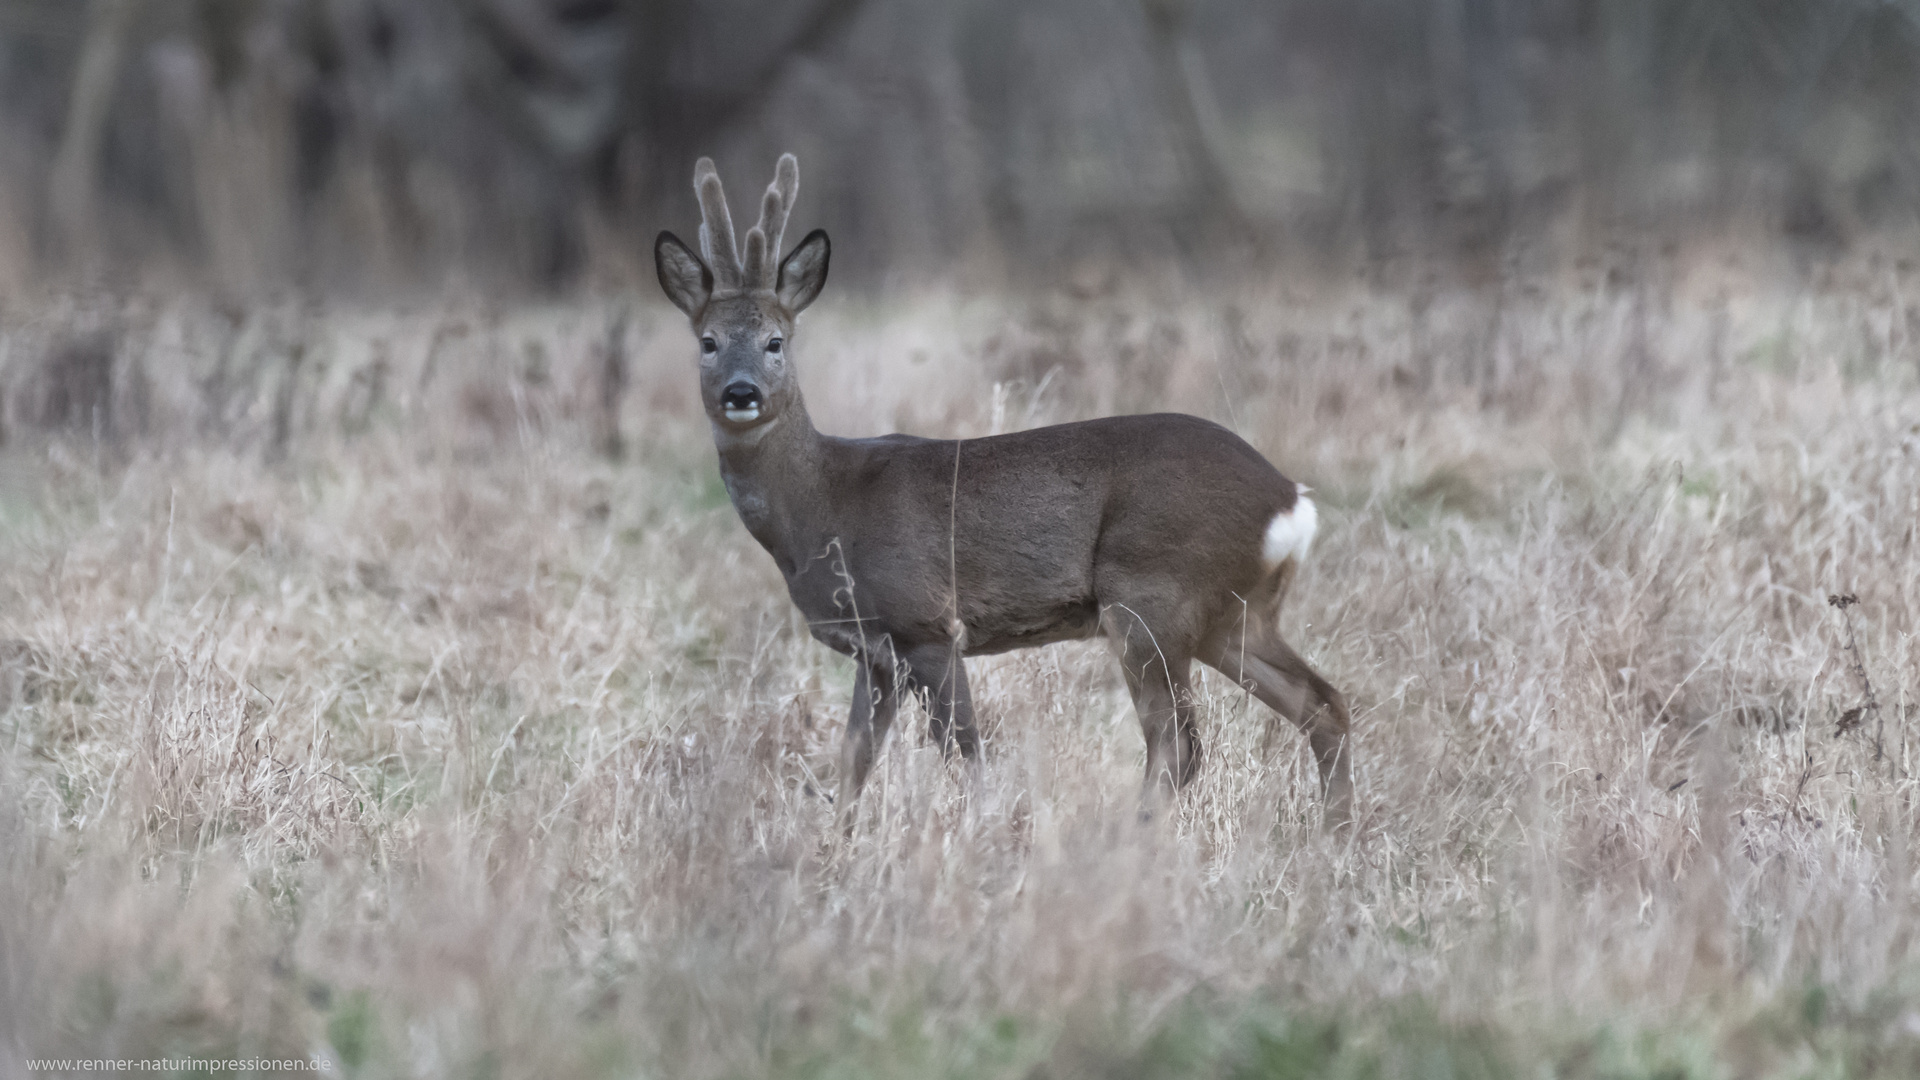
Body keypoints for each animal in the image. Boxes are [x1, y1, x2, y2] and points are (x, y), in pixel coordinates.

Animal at [656, 151, 1351, 822]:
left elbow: (966, 750)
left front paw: (982, 834)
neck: (821, 507)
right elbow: (854, 764)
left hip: (1152, 595)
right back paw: (1335, 836)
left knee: (1177, 742)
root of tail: (1289, 500)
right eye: (708, 342)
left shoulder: (926, 622)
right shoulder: (875, 649)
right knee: (1323, 703)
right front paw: (836, 846)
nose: (740, 392)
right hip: (1234, 615)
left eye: (775, 341)